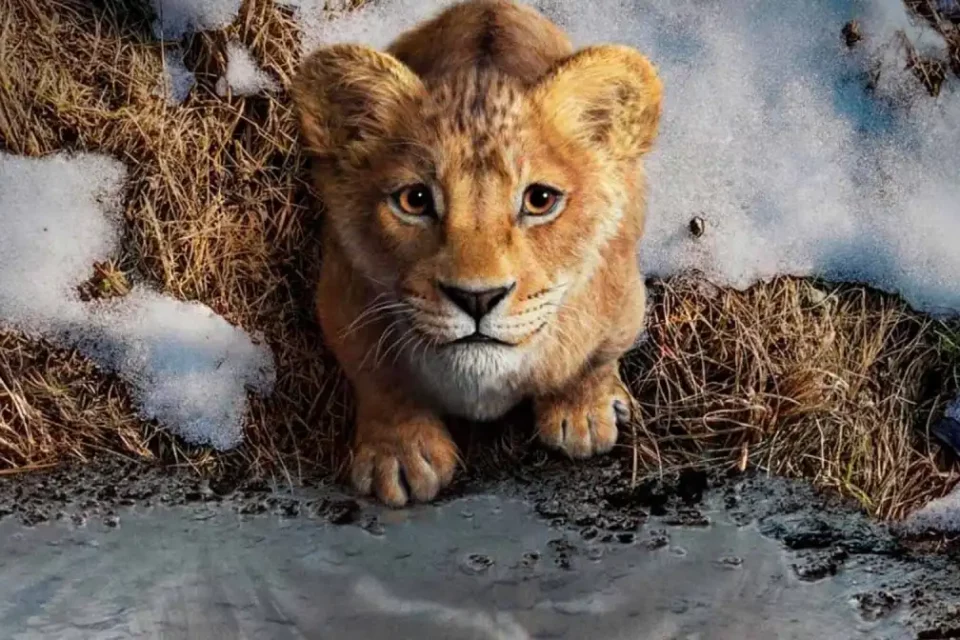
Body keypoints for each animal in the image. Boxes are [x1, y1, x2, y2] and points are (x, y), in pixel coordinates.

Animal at [291, 0, 663, 506]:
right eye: (415, 200)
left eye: (540, 200)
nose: (477, 298)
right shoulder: (341, 297)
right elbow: (379, 378)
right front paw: (400, 455)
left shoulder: (623, 297)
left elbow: (594, 358)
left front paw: (583, 412)